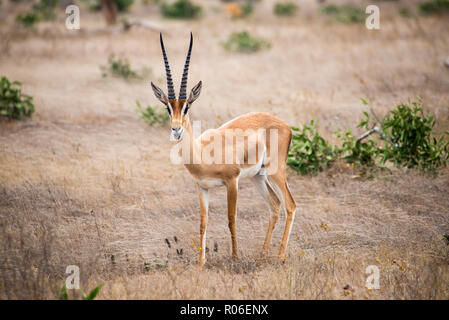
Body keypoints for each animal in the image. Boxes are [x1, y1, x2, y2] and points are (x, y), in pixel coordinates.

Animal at [150, 33, 296, 268]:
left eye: (187, 106)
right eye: (168, 107)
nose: (176, 129)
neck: (202, 155)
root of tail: (285, 124)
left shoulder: (232, 182)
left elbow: (231, 219)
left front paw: (235, 257)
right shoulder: (201, 187)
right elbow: (203, 222)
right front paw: (200, 264)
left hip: (276, 171)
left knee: (290, 204)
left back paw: (280, 256)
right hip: (258, 175)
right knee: (274, 204)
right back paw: (262, 254)